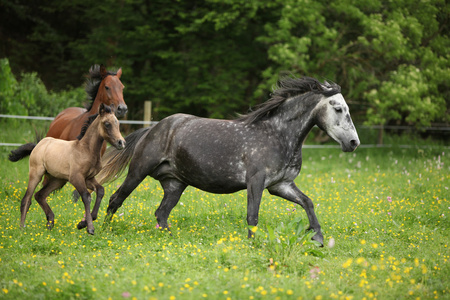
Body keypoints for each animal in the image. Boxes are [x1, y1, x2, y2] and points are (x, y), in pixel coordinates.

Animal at [12, 104, 125, 236]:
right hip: (36, 174)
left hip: (58, 180)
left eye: (118, 124)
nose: (121, 143)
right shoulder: (76, 178)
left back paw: (50, 223)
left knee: (39, 195)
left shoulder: (89, 178)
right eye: (107, 124)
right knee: (27, 199)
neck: (86, 150)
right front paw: (89, 227)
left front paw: (83, 223)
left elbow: (100, 190)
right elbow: (86, 196)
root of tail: (38, 145)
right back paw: (22, 228)